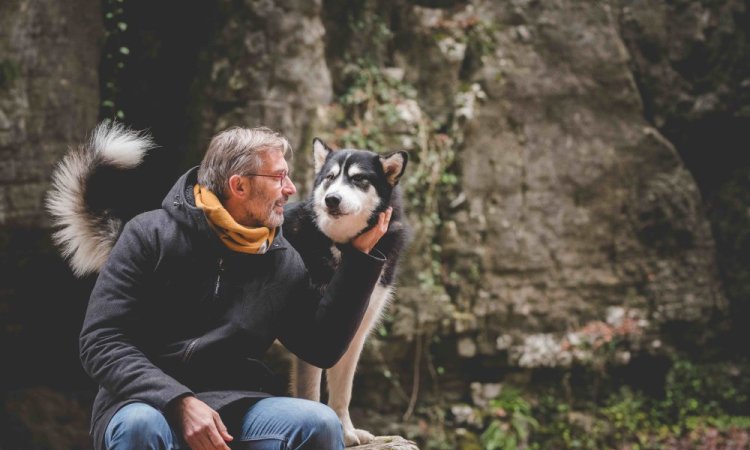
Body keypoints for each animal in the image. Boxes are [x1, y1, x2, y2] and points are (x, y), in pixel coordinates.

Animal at [284, 140, 412, 446]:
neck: (344, 248)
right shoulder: (313, 336)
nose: (331, 199)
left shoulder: (351, 333)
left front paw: (346, 431)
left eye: (358, 179)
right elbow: (311, 393)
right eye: (330, 178)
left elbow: (343, 392)